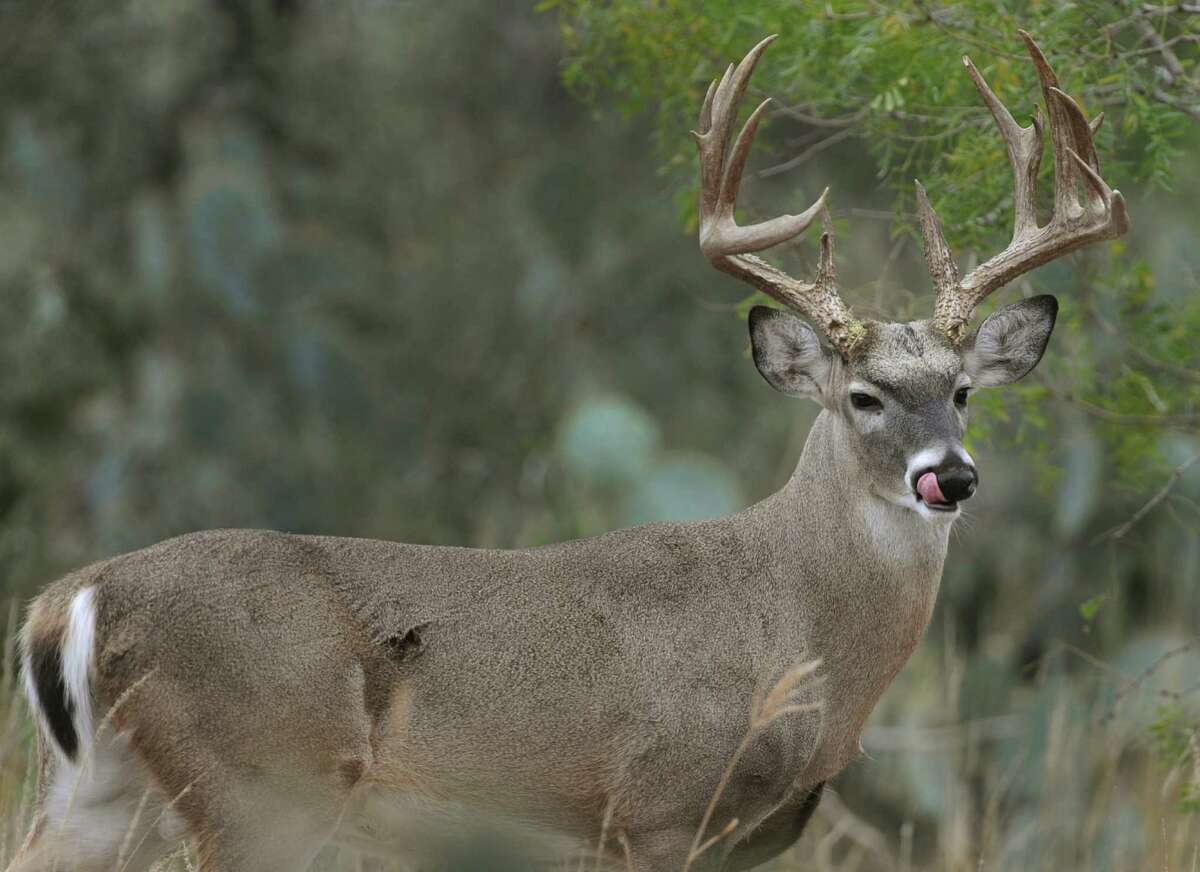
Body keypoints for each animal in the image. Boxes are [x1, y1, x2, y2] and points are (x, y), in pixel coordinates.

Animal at [9, 31, 1127, 872]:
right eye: (864, 398)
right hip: (263, 782)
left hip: (102, 792)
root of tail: (71, 599)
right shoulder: (658, 807)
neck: (796, 628)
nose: (951, 476)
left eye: (964, 393)